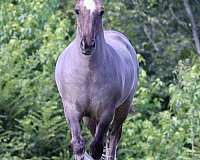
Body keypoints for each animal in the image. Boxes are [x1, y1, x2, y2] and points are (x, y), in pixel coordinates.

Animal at [55, 0, 138, 159]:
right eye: (77, 10)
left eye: (101, 11)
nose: (87, 45)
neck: (87, 75)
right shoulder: (71, 110)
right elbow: (78, 145)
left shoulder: (106, 112)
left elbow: (97, 148)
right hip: (89, 118)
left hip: (122, 109)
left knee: (113, 137)